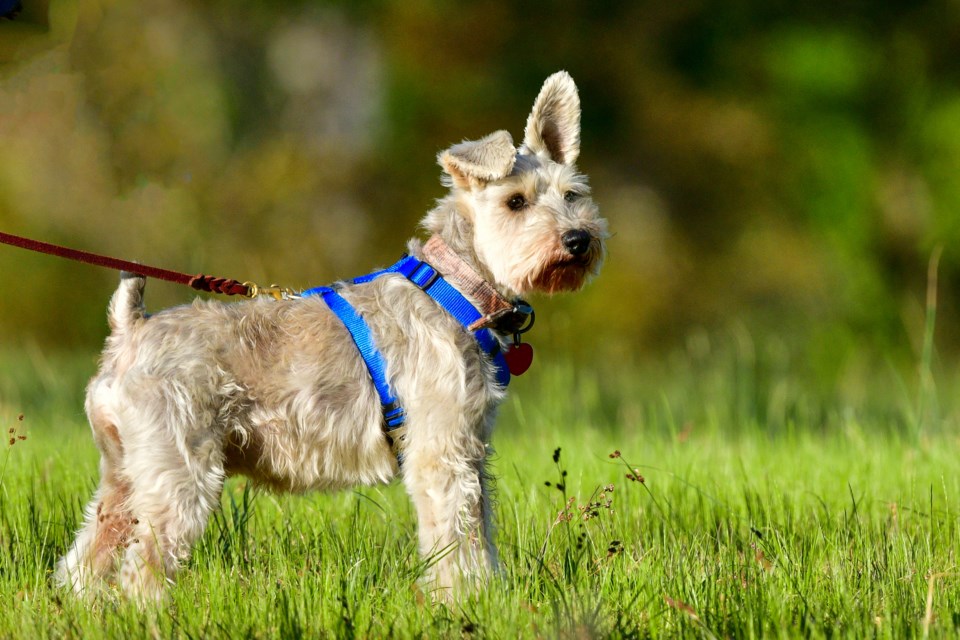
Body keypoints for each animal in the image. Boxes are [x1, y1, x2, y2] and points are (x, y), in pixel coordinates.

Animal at [56, 72, 608, 604]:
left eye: (573, 194)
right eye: (515, 201)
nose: (579, 240)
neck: (456, 287)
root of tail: (130, 329)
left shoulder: (471, 448)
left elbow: (478, 532)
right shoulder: (443, 450)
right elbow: (457, 540)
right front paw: (467, 602)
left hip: (123, 477)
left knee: (83, 560)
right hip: (180, 474)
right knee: (141, 570)